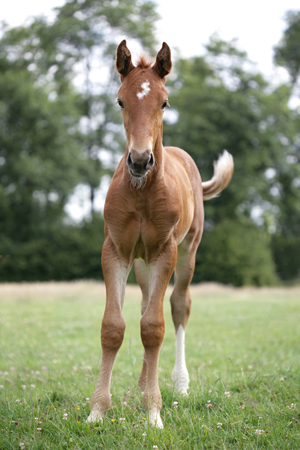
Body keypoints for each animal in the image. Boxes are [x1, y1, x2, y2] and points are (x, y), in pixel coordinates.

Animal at [86, 40, 234, 428]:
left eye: (164, 102)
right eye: (120, 101)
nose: (140, 160)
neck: (141, 193)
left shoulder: (165, 251)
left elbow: (154, 327)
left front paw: (154, 412)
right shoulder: (116, 251)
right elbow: (114, 326)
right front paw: (97, 410)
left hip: (186, 252)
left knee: (178, 307)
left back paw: (179, 383)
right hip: (142, 263)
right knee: (142, 307)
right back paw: (140, 385)